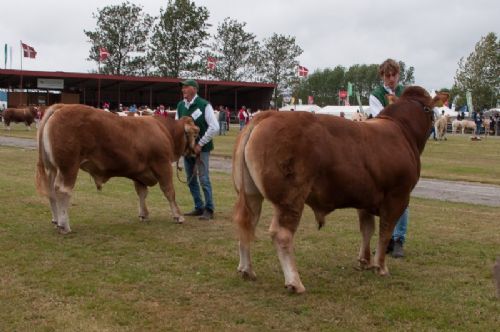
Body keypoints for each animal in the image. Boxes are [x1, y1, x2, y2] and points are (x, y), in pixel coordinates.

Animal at [35, 104, 199, 233]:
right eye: (196, 134)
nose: (197, 150)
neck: (164, 130)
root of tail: (62, 107)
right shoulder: (162, 165)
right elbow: (169, 191)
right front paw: (178, 216)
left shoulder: (139, 173)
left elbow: (142, 193)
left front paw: (144, 214)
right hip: (69, 167)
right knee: (63, 191)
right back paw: (64, 225)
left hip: (52, 168)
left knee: (51, 192)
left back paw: (56, 220)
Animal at [232, 86, 444, 294]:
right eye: (430, 110)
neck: (402, 131)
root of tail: (267, 115)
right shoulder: (398, 196)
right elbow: (385, 231)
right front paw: (381, 266)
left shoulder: (366, 197)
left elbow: (367, 229)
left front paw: (364, 261)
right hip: (290, 197)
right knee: (281, 234)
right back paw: (295, 282)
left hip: (251, 193)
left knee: (246, 223)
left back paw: (246, 270)